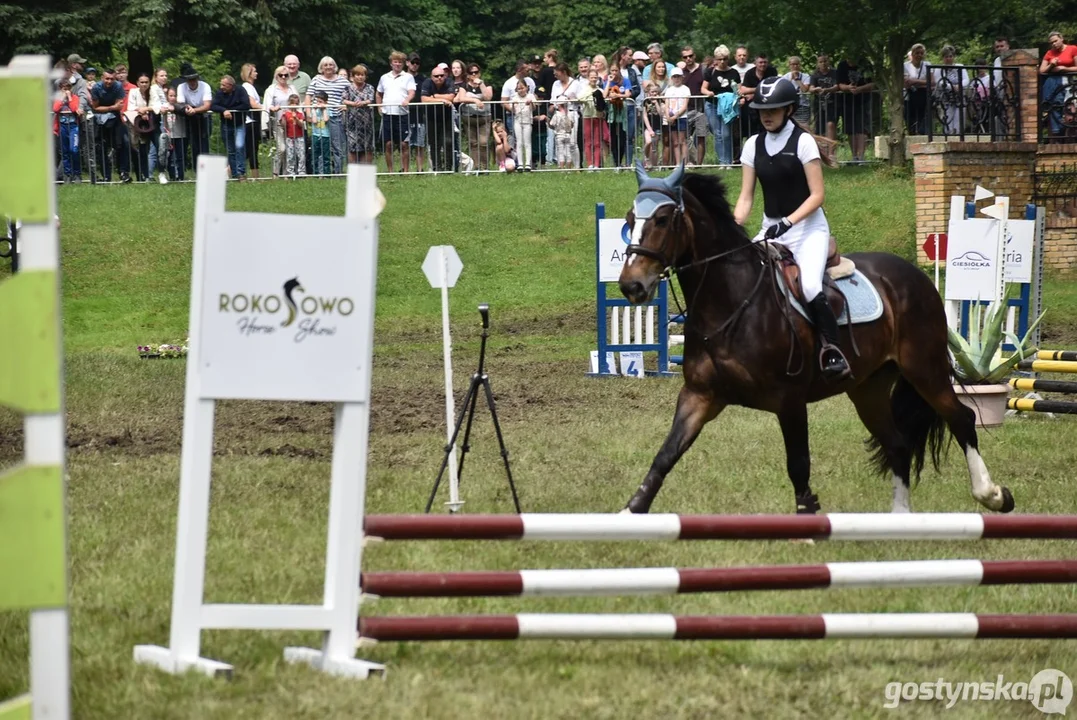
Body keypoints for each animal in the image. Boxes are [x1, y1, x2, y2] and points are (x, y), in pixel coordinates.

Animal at [620, 166, 1012, 516]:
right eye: (629, 219)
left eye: (662, 220)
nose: (631, 285)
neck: (732, 301)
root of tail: (916, 275)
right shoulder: (700, 396)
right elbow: (665, 455)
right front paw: (630, 511)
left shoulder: (789, 400)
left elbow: (798, 463)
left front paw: (807, 520)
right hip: (867, 388)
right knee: (898, 444)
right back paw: (901, 517)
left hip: (924, 370)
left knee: (961, 418)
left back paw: (993, 495)